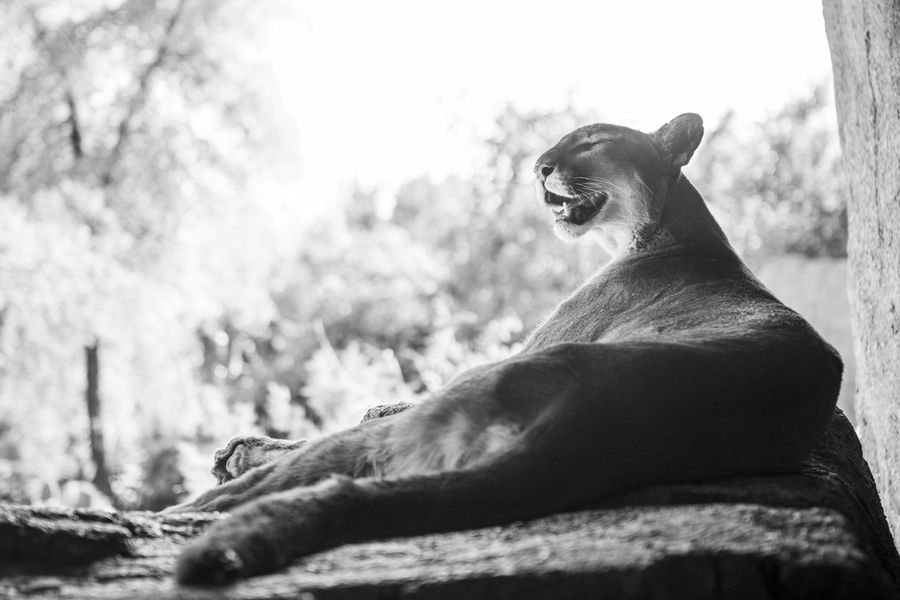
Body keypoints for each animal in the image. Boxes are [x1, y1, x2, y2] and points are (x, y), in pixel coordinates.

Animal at [169, 113, 844, 584]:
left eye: (592, 142)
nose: (539, 165)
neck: (662, 230)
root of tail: (584, 431)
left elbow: (369, 409)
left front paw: (242, 451)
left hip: (452, 403)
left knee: (311, 465)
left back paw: (213, 490)